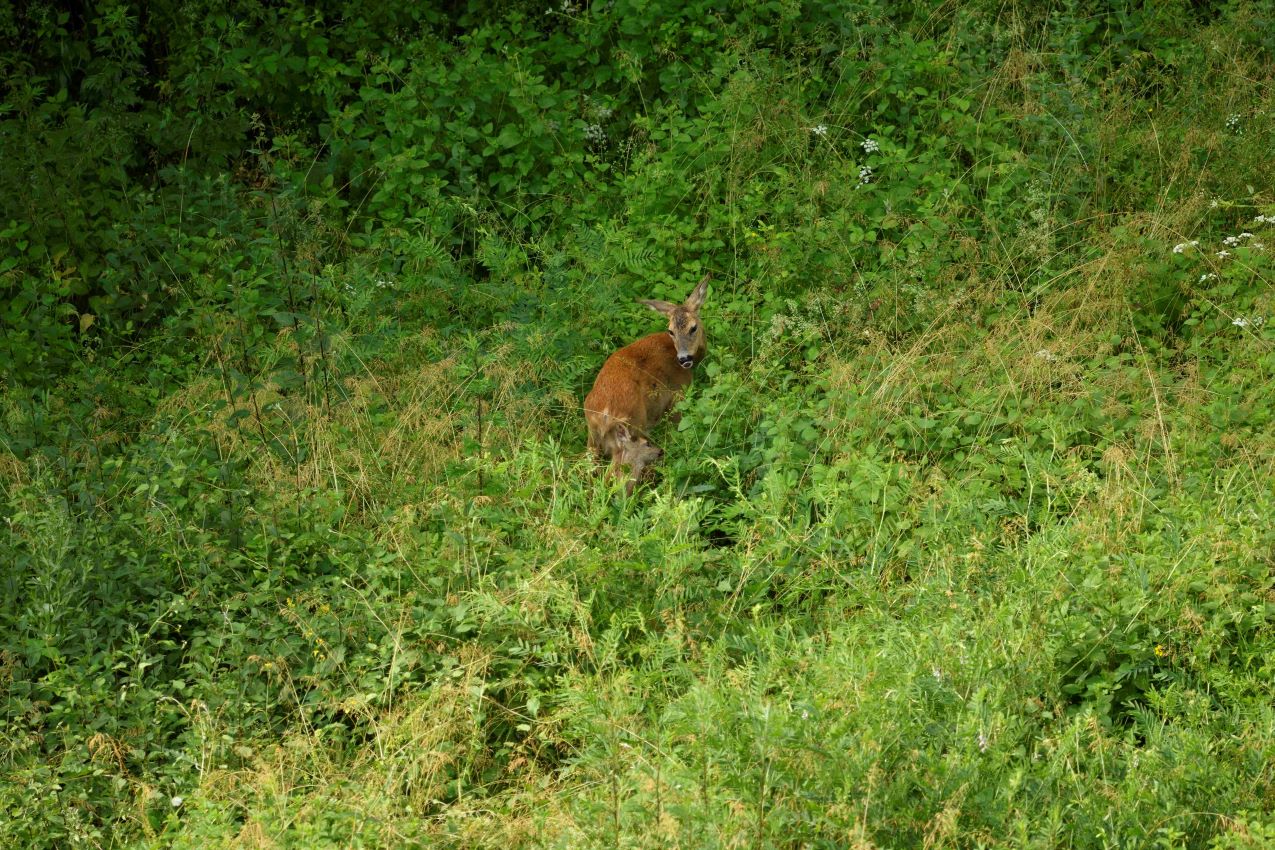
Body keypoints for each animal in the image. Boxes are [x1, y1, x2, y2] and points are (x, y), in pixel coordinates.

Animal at [583, 276, 714, 494]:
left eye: (693, 327)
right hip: (633, 428)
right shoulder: (677, 396)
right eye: (671, 330)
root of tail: (604, 414)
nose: (684, 358)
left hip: (593, 437)